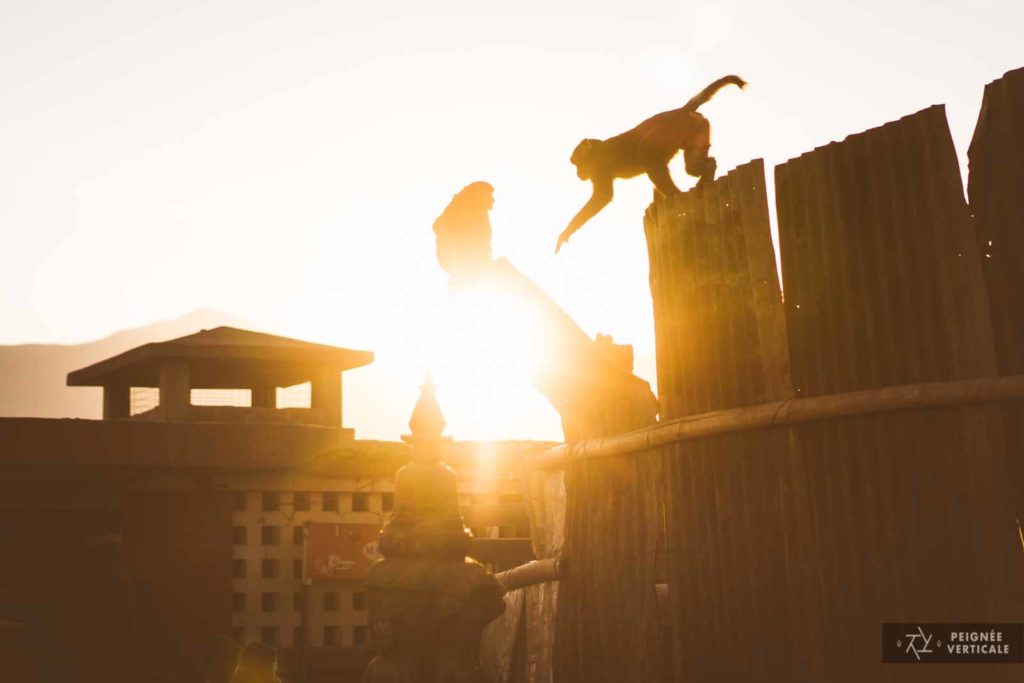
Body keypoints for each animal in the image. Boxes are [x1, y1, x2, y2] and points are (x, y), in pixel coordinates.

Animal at [561, 76, 745, 253]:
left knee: (646, 152)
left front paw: (565, 233)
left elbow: (602, 196)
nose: (578, 173)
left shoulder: (599, 167)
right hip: (698, 129)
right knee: (689, 166)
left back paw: (676, 194)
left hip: (667, 132)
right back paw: (704, 175)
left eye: (577, 164)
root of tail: (681, 111)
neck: (596, 151)